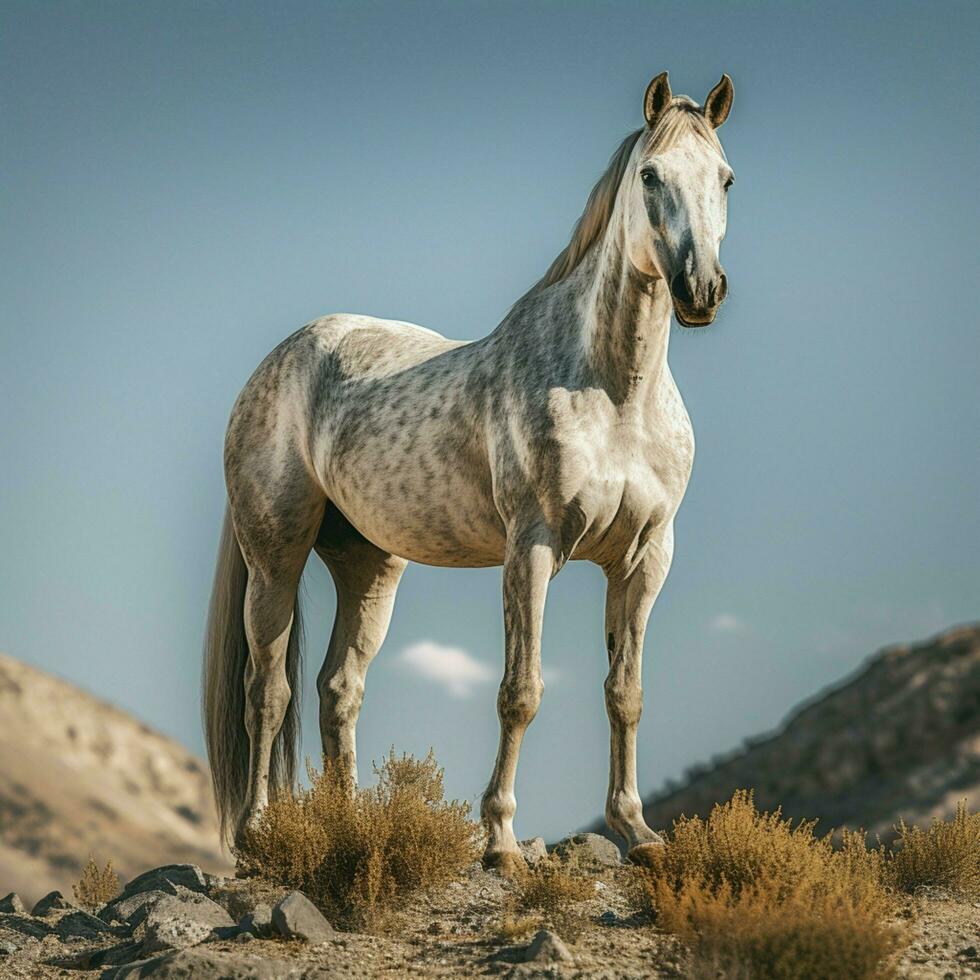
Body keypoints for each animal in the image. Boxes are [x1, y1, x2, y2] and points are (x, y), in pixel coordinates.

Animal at [201, 71, 736, 872]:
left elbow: (626, 692)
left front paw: (637, 831)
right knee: (267, 688)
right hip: (275, 557)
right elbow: (521, 691)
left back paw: (347, 828)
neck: (614, 391)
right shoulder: (532, 547)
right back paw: (260, 832)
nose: (700, 290)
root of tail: (280, 357)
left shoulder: (646, 558)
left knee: (337, 688)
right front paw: (501, 840)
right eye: (650, 175)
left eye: (725, 178)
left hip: (369, 566)